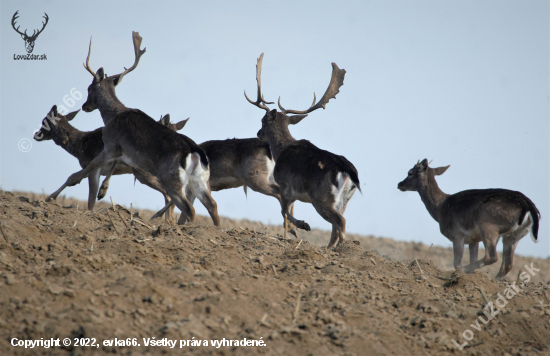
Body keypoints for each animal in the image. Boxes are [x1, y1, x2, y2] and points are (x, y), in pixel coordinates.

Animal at [45, 30, 221, 225]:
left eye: (89, 88)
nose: (85, 106)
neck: (112, 115)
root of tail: (195, 153)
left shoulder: (112, 145)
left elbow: (80, 172)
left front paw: (50, 198)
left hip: (172, 177)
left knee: (189, 207)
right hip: (200, 180)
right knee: (212, 205)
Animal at [244, 53, 360, 248]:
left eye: (262, 120)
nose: (258, 133)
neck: (281, 150)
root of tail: (349, 172)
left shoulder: (284, 184)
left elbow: (283, 210)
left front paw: (300, 226)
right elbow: (285, 210)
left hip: (321, 196)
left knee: (340, 222)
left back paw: (340, 249)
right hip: (344, 200)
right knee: (337, 225)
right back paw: (330, 248)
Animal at [398, 159, 540, 278]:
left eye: (410, 173)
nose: (399, 184)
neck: (440, 209)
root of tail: (529, 206)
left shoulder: (457, 235)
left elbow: (457, 263)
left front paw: (461, 273)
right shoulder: (473, 239)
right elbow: (472, 257)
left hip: (487, 223)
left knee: (491, 256)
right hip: (516, 234)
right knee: (507, 264)